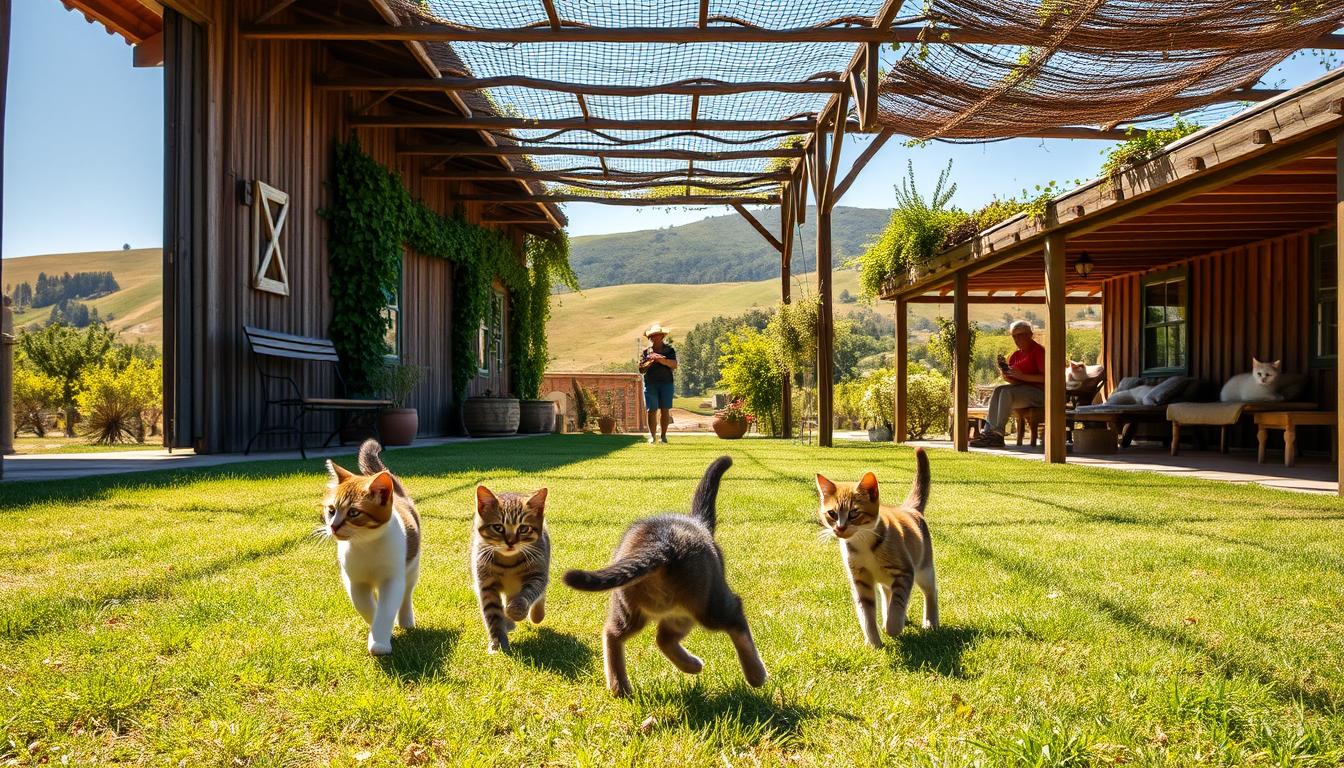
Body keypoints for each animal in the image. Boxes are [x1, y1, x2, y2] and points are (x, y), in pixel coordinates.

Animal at [321, 441, 416, 659]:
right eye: (331, 510)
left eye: (354, 513)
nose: (333, 526)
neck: (366, 545)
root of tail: (399, 496)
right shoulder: (354, 580)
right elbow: (364, 605)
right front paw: (378, 629)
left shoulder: (392, 578)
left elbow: (386, 609)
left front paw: (379, 640)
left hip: (413, 567)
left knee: (407, 593)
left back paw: (406, 619)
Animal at [470, 486, 548, 656]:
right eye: (498, 527)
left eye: (524, 528)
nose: (511, 542)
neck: (508, 563)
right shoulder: (486, 585)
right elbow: (493, 614)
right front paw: (498, 643)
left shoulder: (538, 574)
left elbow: (530, 592)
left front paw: (516, 610)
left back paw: (536, 615)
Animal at [559, 457, 768, 704]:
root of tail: (662, 545)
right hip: (709, 603)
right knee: (735, 615)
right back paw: (755, 674)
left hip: (638, 609)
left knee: (620, 634)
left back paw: (626, 685)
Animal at [811, 446, 940, 650]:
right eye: (832, 513)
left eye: (854, 513)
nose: (840, 528)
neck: (864, 543)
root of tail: (909, 509)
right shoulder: (860, 579)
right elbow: (866, 614)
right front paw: (873, 642)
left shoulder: (904, 572)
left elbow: (898, 602)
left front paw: (893, 627)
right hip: (887, 580)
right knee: (888, 593)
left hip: (924, 568)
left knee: (931, 591)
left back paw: (930, 622)